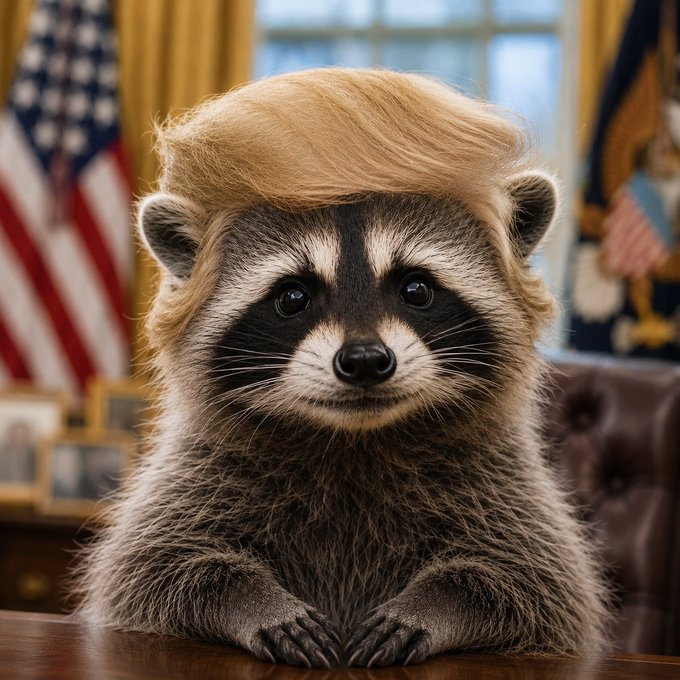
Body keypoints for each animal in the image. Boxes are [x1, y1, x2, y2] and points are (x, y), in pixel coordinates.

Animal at [73, 68, 609, 668]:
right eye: (292, 297)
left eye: (416, 289)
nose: (366, 361)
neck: (354, 439)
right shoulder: (191, 479)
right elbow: (153, 568)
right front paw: (253, 601)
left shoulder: (509, 492)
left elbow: (534, 582)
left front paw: (435, 604)